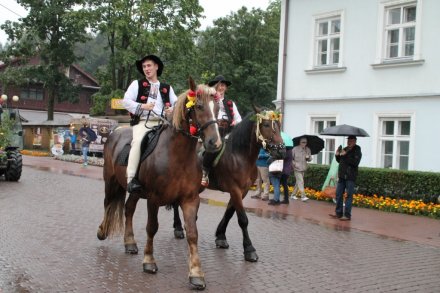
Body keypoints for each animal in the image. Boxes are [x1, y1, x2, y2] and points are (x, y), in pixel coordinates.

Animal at [95, 78, 222, 290]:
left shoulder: (190, 200)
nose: (215, 143)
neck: (177, 156)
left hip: (135, 191)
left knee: (128, 209)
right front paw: (149, 261)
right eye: (198, 106)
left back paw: (130, 243)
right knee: (108, 204)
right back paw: (102, 231)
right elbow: (151, 227)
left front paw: (196, 273)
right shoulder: (153, 199)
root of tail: (116, 132)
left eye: (218, 107)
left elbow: (192, 233)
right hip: (110, 181)